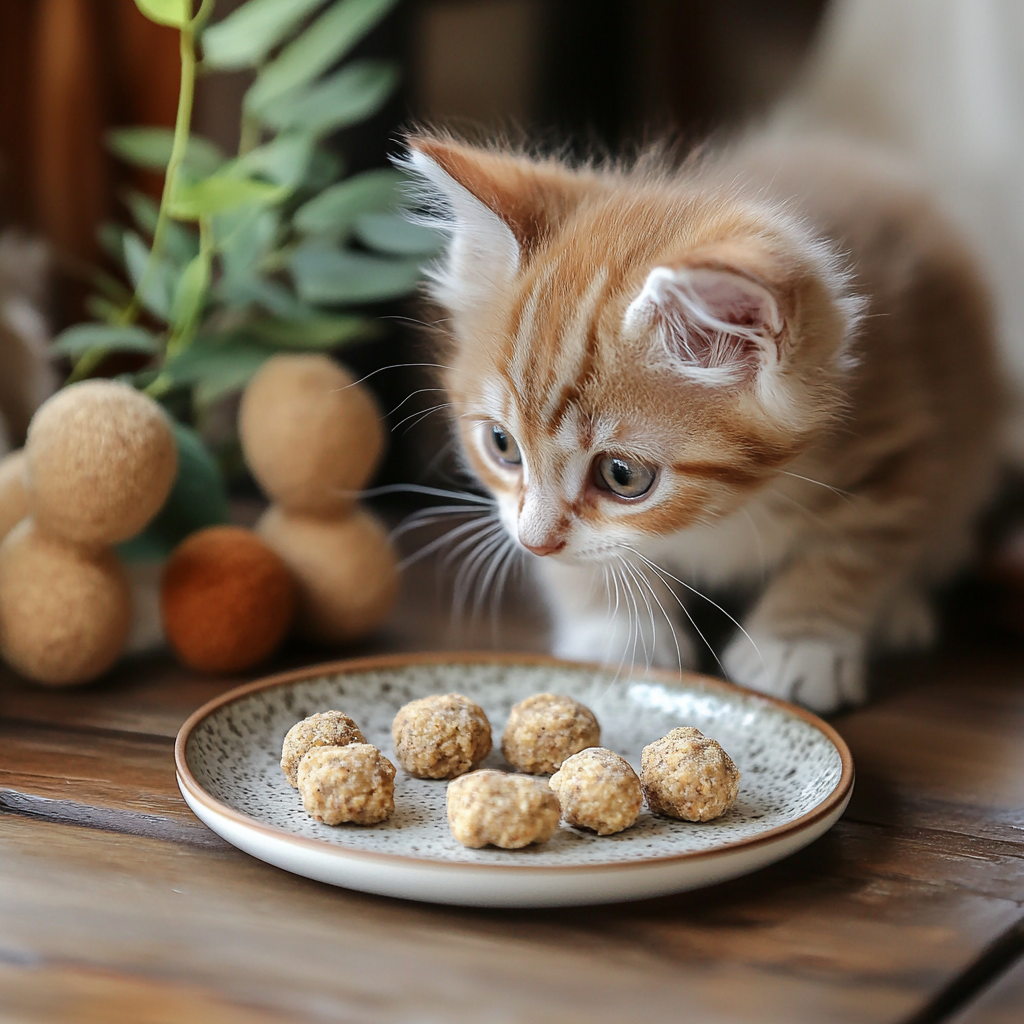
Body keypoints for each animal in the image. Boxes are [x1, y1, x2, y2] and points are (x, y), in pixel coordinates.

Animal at [401, 130, 999, 712]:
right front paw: (616, 627)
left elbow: (857, 545)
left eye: (622, 476)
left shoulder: (897, 431)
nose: (534, 544)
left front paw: (800, 641)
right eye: (502, 444)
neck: (727, 510)